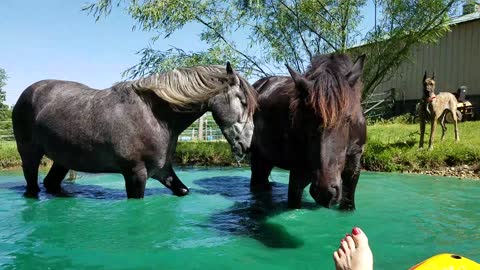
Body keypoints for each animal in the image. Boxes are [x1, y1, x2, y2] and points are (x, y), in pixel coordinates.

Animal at [13, 63, 256, 198]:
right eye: (243, 102)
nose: (247, 145)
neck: (154, 116)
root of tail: (27, 93)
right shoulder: (135, 174)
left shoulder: (163, 171)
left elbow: (183, 190)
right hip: (30, 156)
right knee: (33, 185)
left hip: (63, 159)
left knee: (51, 184)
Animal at [249, 52, 366, 209]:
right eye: (306, 118)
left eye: (347, 118)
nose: (325, 192)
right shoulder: (297, 174)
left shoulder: (354, 163)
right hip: (257, 158)